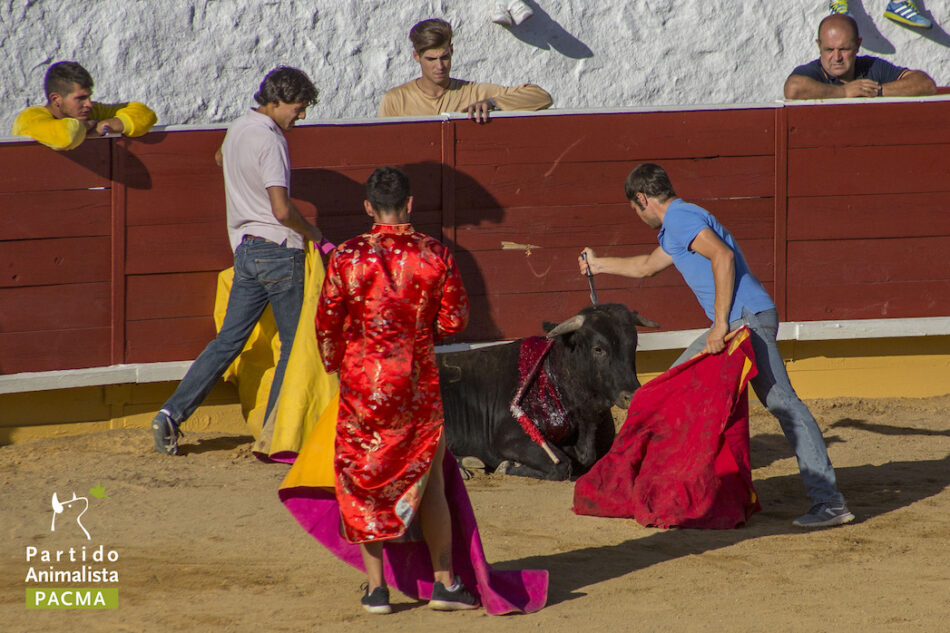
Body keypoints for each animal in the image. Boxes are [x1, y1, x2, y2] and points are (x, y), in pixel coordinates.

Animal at [436, 302, 656, 478]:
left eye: (633, 345)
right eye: (598, 349)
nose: (631, 395)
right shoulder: (510, 438)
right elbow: (563, 465)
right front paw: (506, 466)